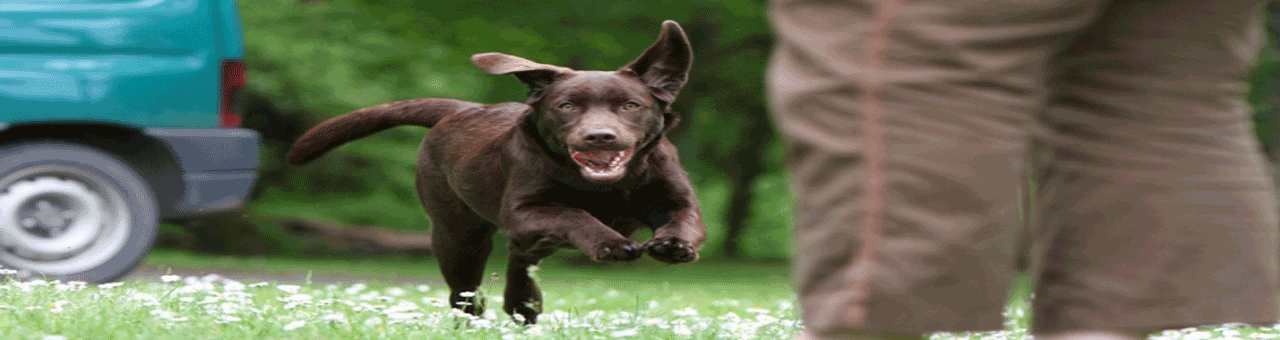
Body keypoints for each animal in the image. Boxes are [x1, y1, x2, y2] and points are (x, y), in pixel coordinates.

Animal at [286, 21, 711, 324]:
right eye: (567, 106)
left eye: (630, 105)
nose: (599, 137)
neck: (605, 187)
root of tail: (460, 109)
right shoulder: (524, 211)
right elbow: (574, 213)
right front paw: (609, 242)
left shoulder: (674, 196)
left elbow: (684, 220)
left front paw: (674, 245)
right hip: (458, 235)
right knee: (467, 292)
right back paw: (479, 318)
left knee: (520, 258)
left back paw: (523, 303)